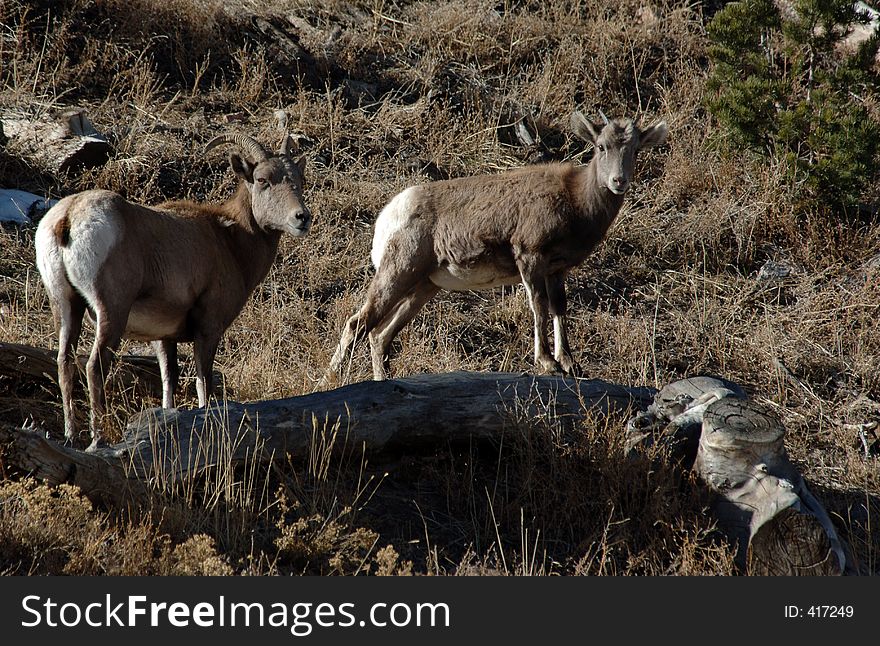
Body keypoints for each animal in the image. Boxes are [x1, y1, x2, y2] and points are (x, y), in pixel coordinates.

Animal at [36, 129, 312, 448]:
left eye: (299, 179)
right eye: (263, 179)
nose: (302, 218)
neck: (230, 239)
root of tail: (67, 218)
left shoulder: (163, 338)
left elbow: (169, 382)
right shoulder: (208, 328)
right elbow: (203, 382)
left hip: (66, 306)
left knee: (64, 363)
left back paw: (70, 437)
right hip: (111, 311)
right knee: (94, 366)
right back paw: (98, 439)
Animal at [324, 112, 668, 384]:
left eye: (634, 150)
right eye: (601, 147)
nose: (618, 181)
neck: (575, 199)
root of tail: (389, 215)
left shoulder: (557, 270)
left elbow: (559, 309)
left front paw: (571, 365)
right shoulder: (530, 258)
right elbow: (539, 306)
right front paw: (549, 363)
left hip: (423, 288)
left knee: (380, 336)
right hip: (398, 273)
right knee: (357, 324)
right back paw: (329, 380)